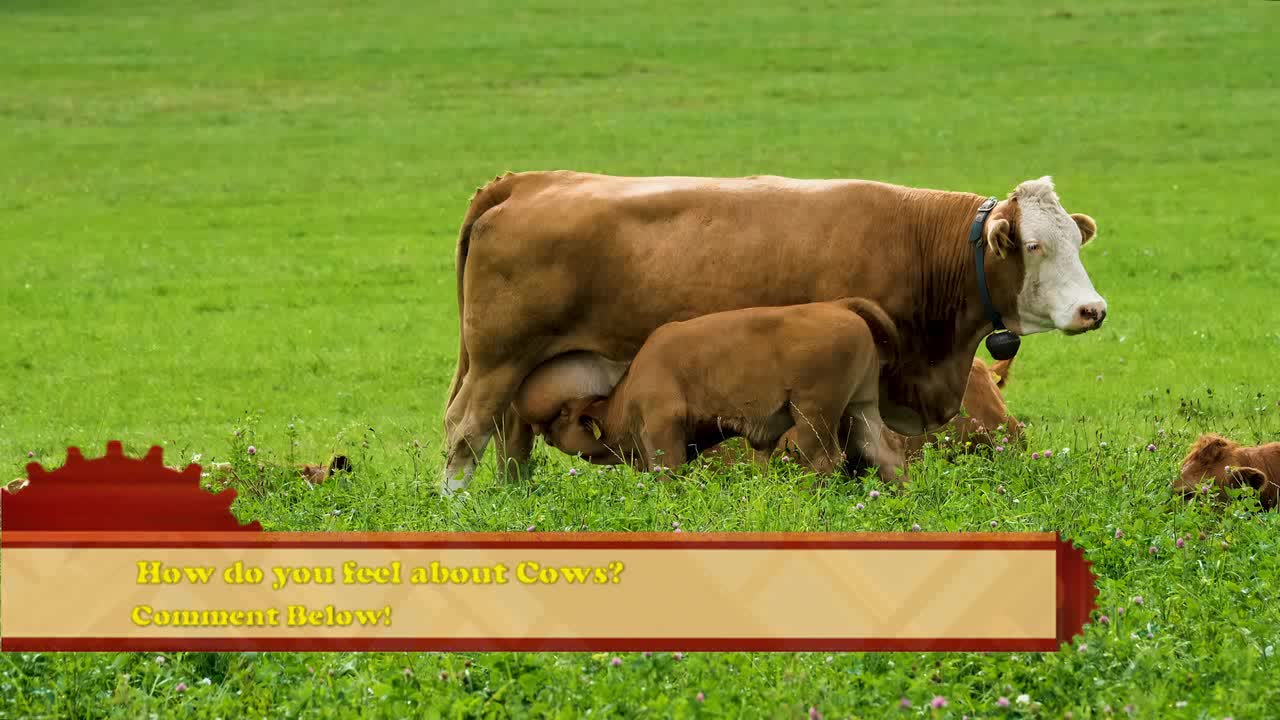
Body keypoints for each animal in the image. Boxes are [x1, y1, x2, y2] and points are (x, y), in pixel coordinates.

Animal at [445, 170, 1105, 489]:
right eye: (1034, 246)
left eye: (1076, 242)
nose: (1093, 310)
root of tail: (531, 180)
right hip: (496, 363)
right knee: (463, 433)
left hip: (525, 376)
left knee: (509, 441)